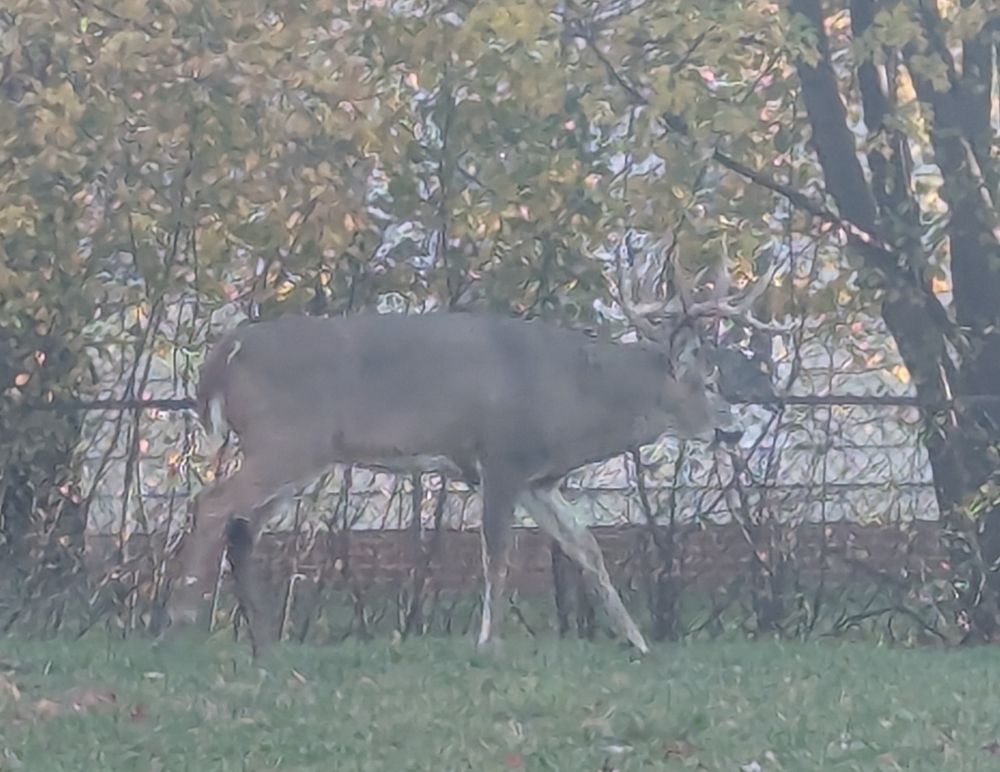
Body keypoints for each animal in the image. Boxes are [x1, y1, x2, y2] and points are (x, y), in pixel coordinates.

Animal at [162, 253, 781, 657]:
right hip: (286, 439)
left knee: (241, 524)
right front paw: (488, 641)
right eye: (708, 381)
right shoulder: (500, 457)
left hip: (300, 455)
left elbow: (587, 549)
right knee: (212, 503)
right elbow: (497, 553)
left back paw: (265, 642)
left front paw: (636, 639)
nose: (734, 430)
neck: (575, 396)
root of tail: (223, 354)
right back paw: (180, 618)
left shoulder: (539, 479)